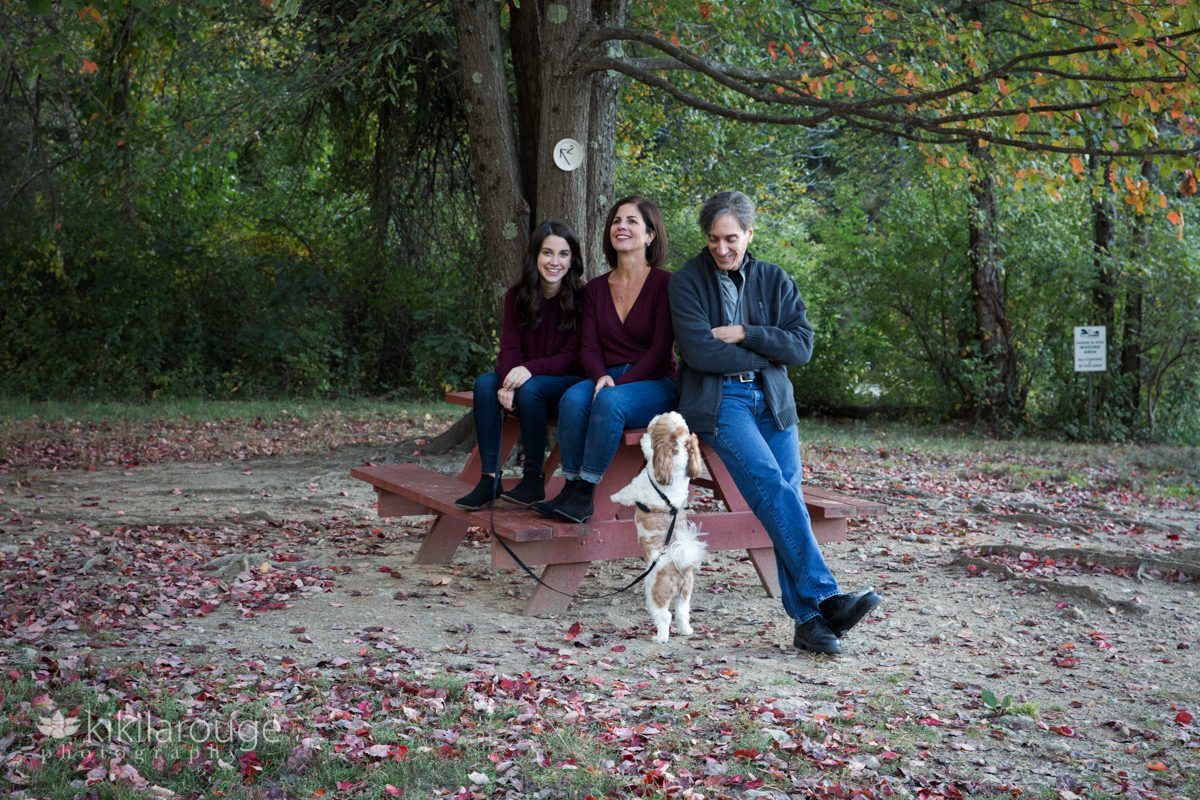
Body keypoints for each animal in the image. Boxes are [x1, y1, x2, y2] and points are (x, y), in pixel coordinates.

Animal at [609, 412, 700, 642]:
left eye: (660, 421)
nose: (662, 412)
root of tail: (679, 565)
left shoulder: (637, 486)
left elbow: (626, 491)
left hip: (655, 593)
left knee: (665, 616)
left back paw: (660, 637)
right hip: (685, 594)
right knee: (682, 613)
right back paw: (686, 630)